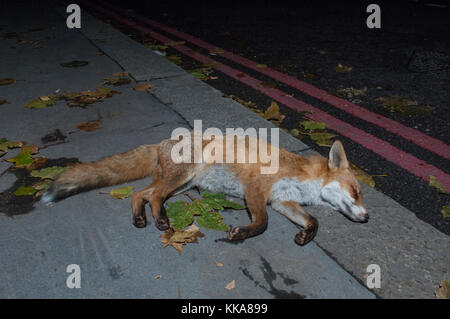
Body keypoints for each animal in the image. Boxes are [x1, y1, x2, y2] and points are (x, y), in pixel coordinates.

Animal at [40, 133, 368, 248]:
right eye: (355, 191)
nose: (366, 218)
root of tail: (162, 142)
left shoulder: (280, 201)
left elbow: (314, 221)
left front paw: (305, 236)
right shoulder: (256, 190)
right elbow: (262, 224)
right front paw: (241, 234)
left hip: (182, 184)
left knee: (140, 194)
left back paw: (142, 218)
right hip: (183, 177)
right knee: (153, 195)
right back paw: (161, 220)